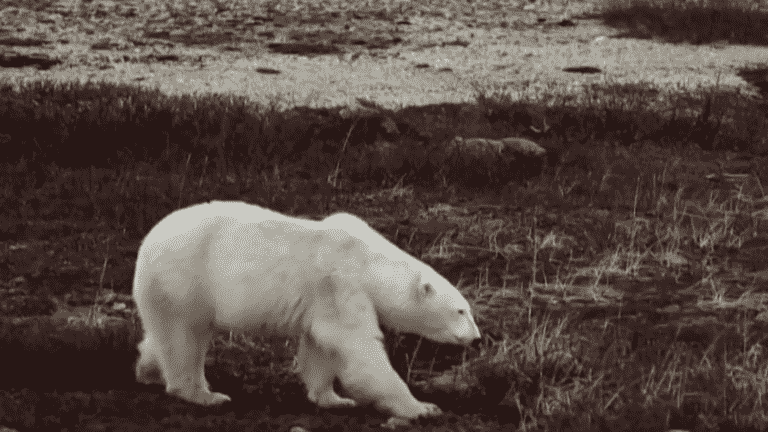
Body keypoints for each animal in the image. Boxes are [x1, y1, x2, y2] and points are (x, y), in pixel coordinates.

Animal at [132, 201, 480, 420]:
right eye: (460, 311)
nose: (476, 339)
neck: (367, 261)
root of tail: (146, 243)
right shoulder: (341, 285)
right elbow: (358, 346)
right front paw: (423, 407)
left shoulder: (323, 300)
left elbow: (321, 347)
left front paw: (335, 399)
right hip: (185, 279)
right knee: (184, 337)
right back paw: (203, 394)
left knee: (165, 334)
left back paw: (148, 371)